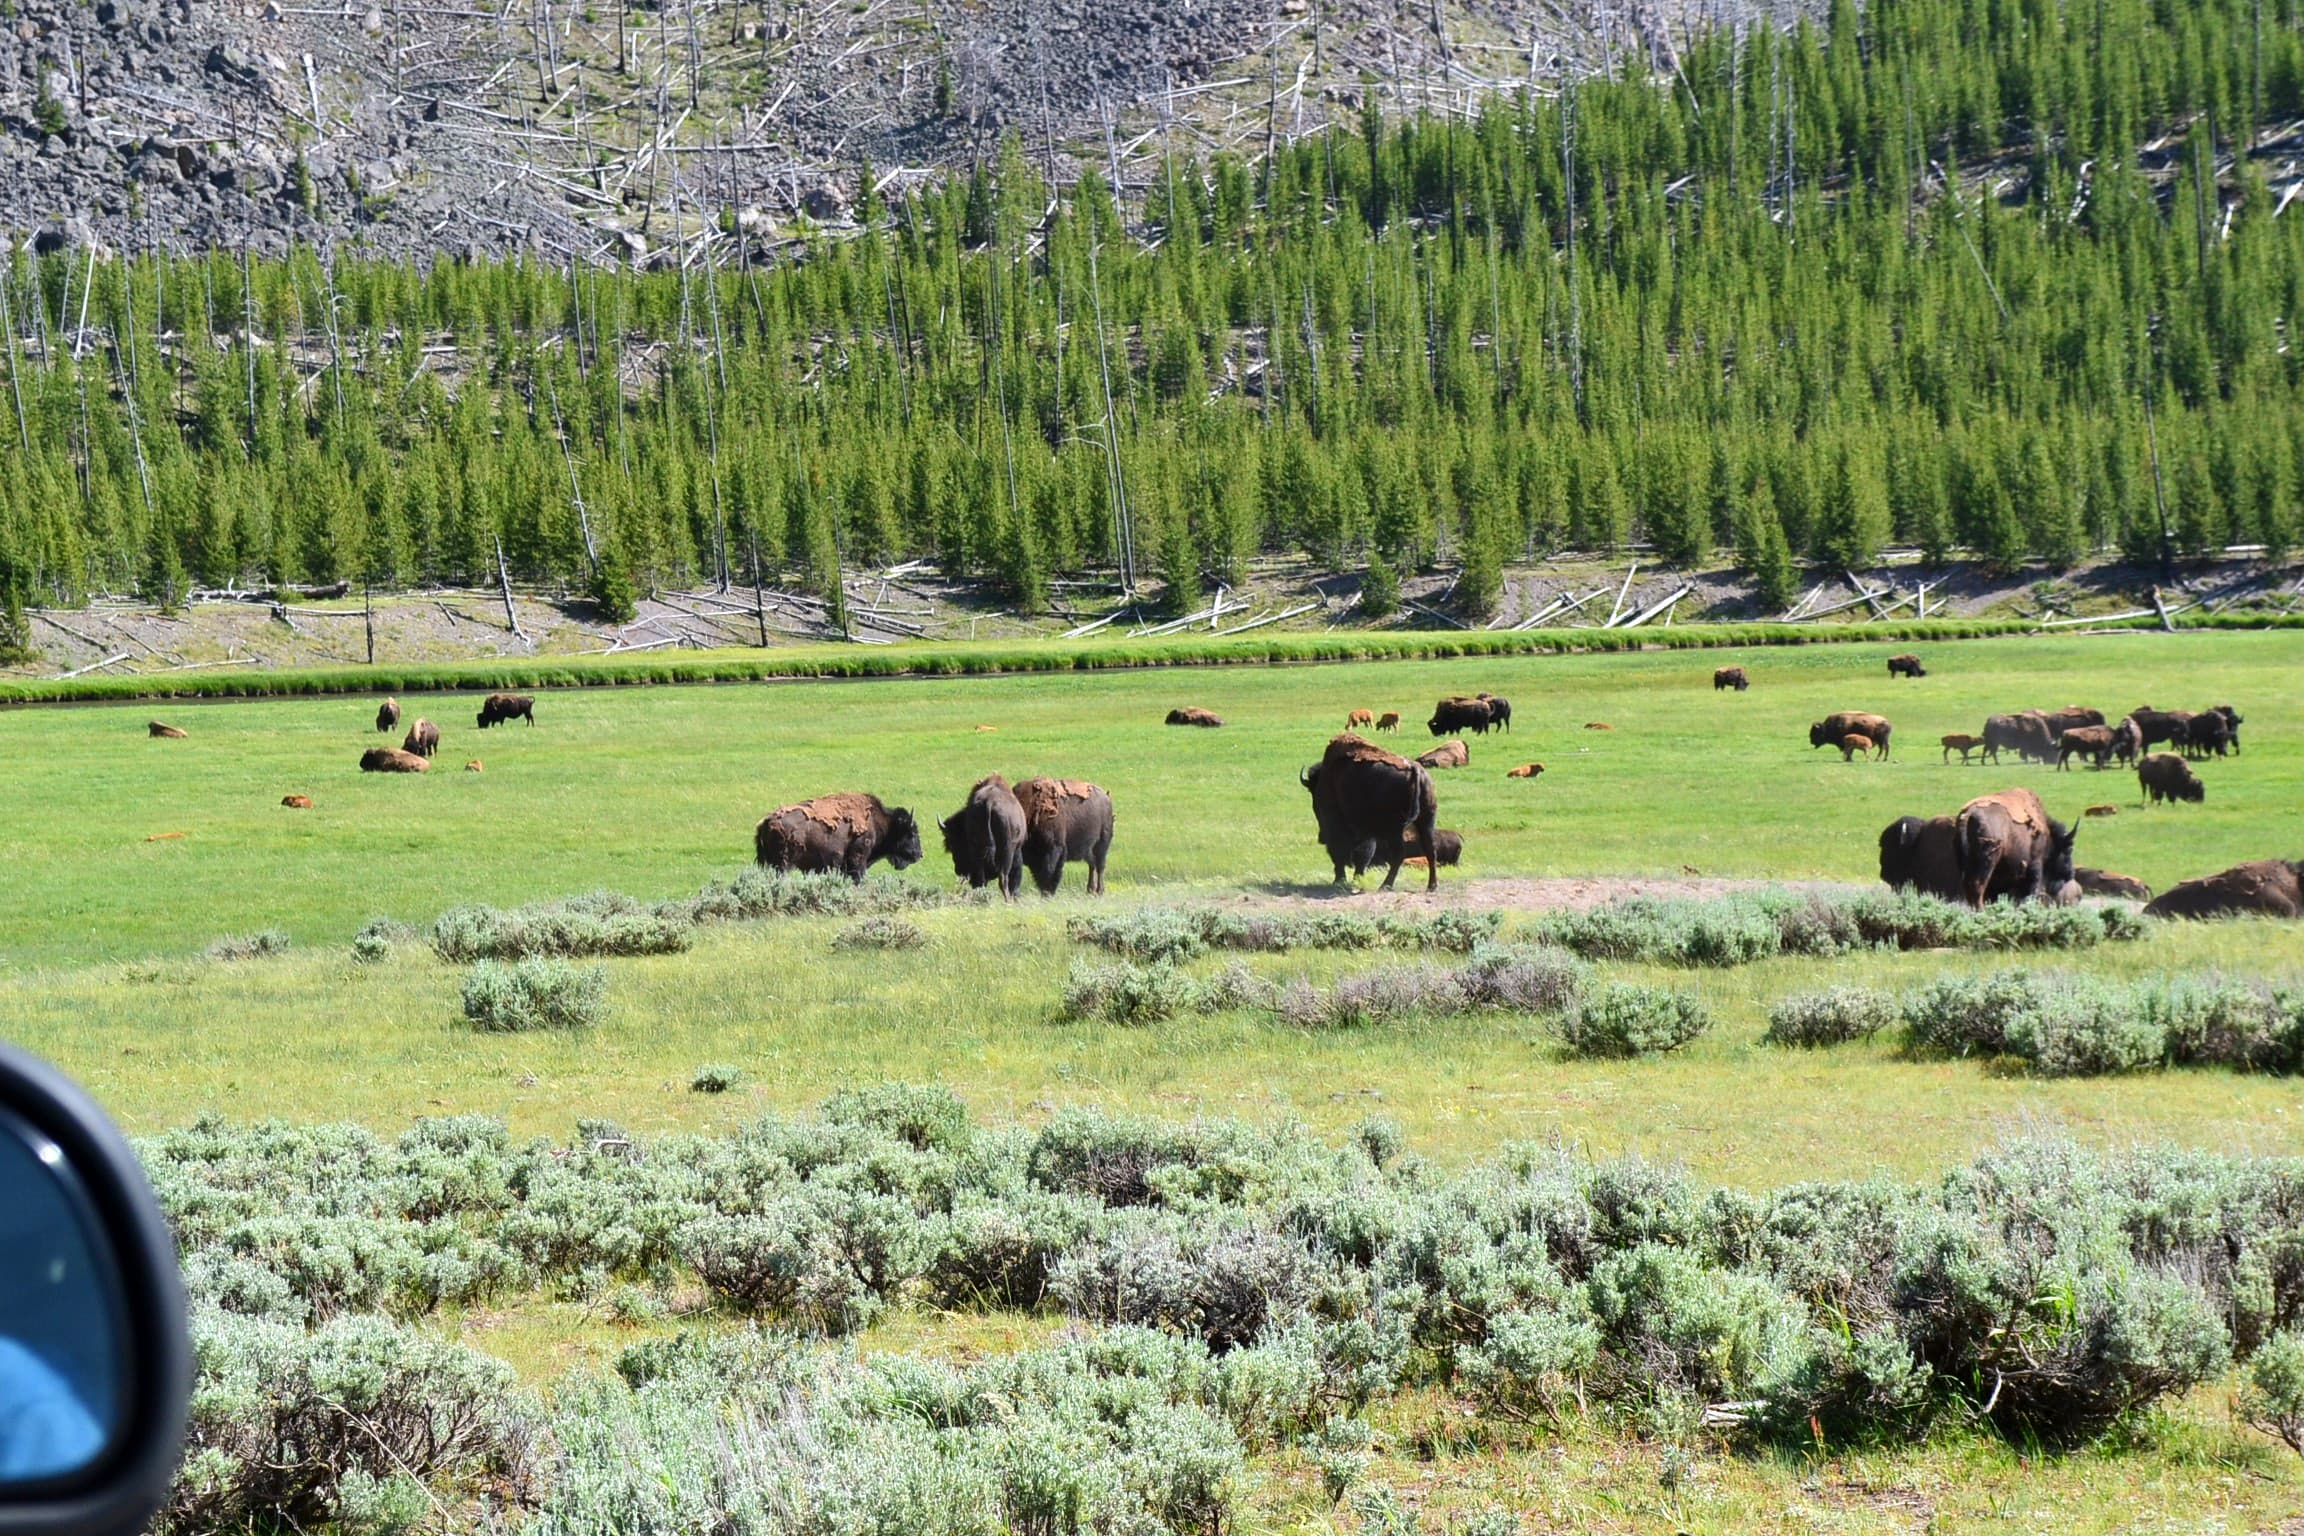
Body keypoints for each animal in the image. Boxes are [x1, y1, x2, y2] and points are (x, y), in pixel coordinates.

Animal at [754, 793, 924, 881]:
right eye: (912, 833)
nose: (919, 854)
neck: (879, 822)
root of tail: (767, 821)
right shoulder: (858, 859)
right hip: (782, 864)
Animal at [1301, 733, 1439, 892]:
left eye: (1314, 793)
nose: (1321, 838)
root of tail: (1415, 769)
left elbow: (1342, 852)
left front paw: (1340, 880)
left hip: (1394, 830)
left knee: (1399, 854)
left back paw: (1385, 885)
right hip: (1425, 821)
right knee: (1430, 851)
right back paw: (1431, 886)